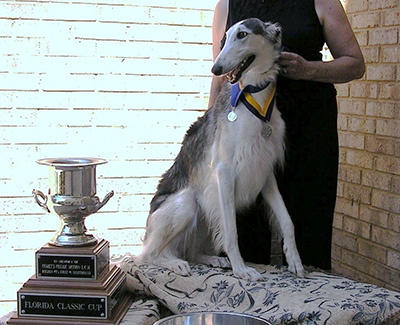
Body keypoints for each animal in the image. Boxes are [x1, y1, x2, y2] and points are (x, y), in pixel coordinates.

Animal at [138, 18, 304, 280]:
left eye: (242, 34)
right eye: (225, 38)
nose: (216, 69)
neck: (253, 101)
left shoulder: (264, 171)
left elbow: (287, 221)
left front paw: (295, 261)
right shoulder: (224, 171)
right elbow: (232, 231)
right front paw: (242, 269)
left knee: (192, 252)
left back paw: (213, 259)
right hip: (188, 202)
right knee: (149, 254)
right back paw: (175, 263)